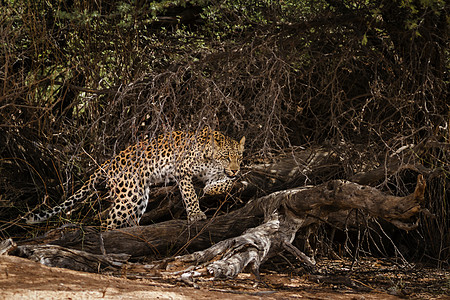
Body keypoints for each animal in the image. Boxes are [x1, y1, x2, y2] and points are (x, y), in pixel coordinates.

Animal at [26, 127, 244, 230]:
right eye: (226, 156)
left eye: (239, 157)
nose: (235, 170)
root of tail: (112, 160)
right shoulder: (182, 171)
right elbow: (190, 194)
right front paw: (196, 214)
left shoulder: (218, 175)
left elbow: (226, 183)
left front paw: (212, 190)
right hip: (129, 195)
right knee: (109, 222)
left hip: (139, 195)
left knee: (128, 219)